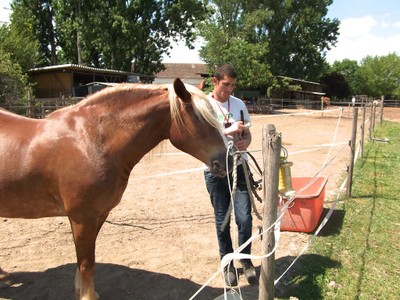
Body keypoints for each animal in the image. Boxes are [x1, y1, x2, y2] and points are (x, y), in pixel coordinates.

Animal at [0, 78, 230, 298]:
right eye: (200, 119)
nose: (225, 161)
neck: (92, 141)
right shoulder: (82, 218)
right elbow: (86, 264)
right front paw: (88, 296)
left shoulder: (98, 215)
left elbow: (83, 261)